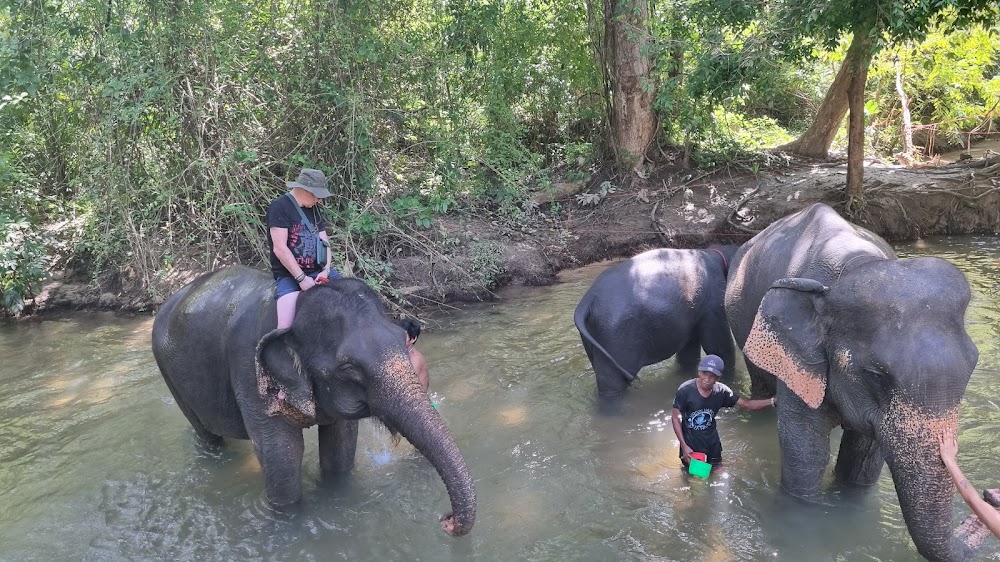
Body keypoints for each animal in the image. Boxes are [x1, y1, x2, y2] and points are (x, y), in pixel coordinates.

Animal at [149, 264, 476, 536]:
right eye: (349, 368)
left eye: (402, 341)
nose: (445, 520)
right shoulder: (248, 371)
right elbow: (282, 455)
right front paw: (289, 522)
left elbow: (341, 445)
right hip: (168, 372)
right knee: (205, 433)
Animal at [572, 243, 744, 396]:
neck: (716, 252)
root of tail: (589, 299)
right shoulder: (713, 302)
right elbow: (717, 346)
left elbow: (689, 351)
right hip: (616, 335)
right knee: (612, 381)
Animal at [724, 203, 988, 556]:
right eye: (876, 375)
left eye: (973, 365)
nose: (988, 495)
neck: (856, 266)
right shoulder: (802, 361)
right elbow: (805, 449)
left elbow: (864, 458)